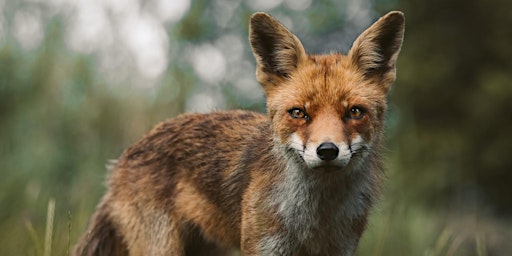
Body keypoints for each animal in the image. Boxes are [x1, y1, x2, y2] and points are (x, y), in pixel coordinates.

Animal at [75, 11, 404, 255]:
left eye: (355, 112)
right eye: (299, 113)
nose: (327, 151)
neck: (314, 221)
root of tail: (124, 158)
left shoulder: (341, 249)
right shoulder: (263, 247)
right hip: (162, 248)